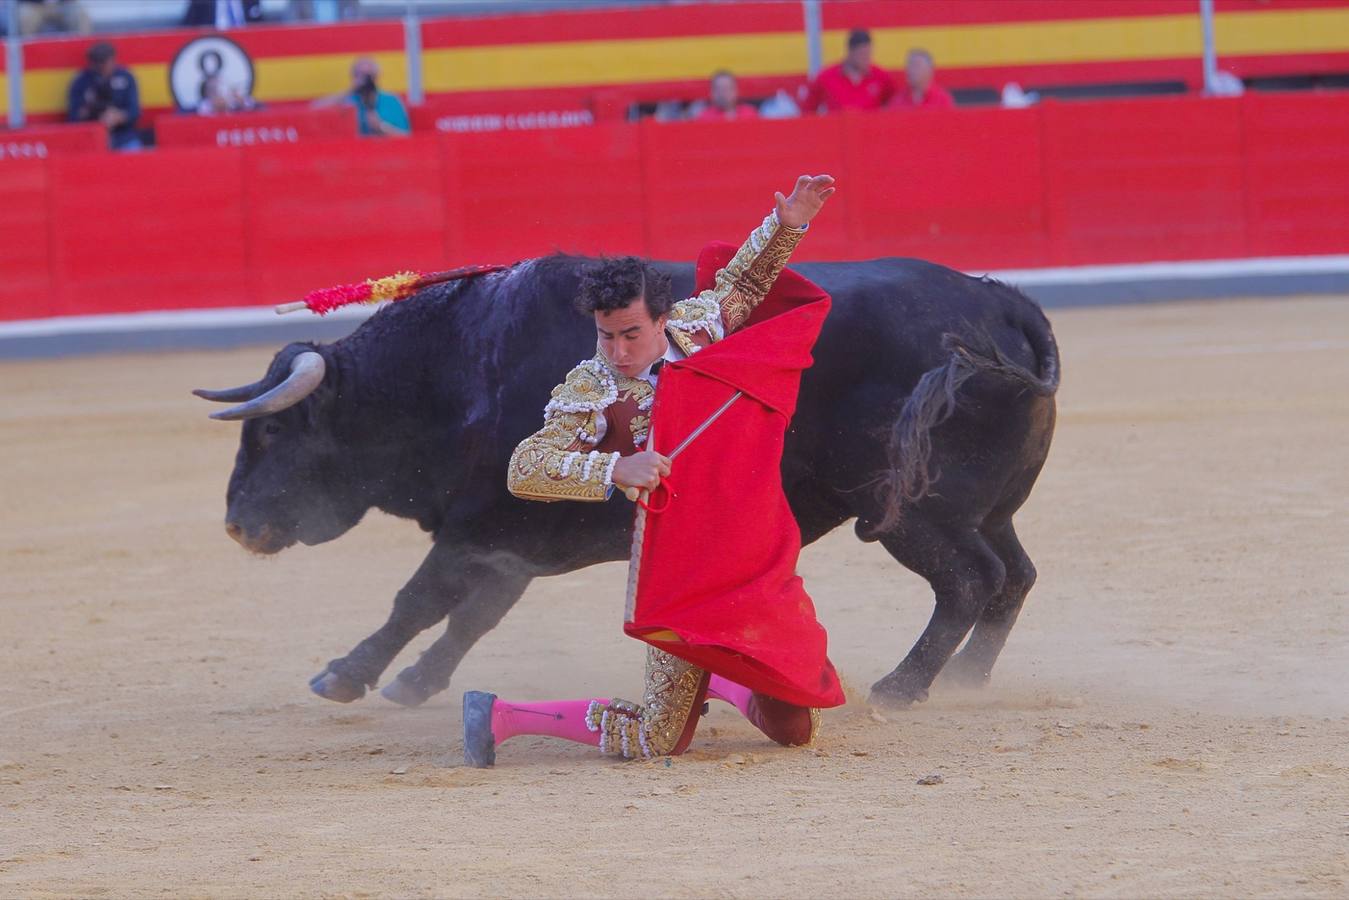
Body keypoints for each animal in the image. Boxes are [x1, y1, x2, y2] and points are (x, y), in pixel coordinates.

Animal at [196, 253, 1063, 712]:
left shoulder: (482, 528)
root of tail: (1000, 303)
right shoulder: (510, 541)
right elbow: (471, 615)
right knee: (1013, 577)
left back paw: (903, 686)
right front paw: (414, 682)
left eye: (270, 430)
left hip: (913, 513)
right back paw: (970, 679)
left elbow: (420, 598)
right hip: (988, 508)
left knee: (968, 581)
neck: (456, 372)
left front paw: (346, 675)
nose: (236, 525)